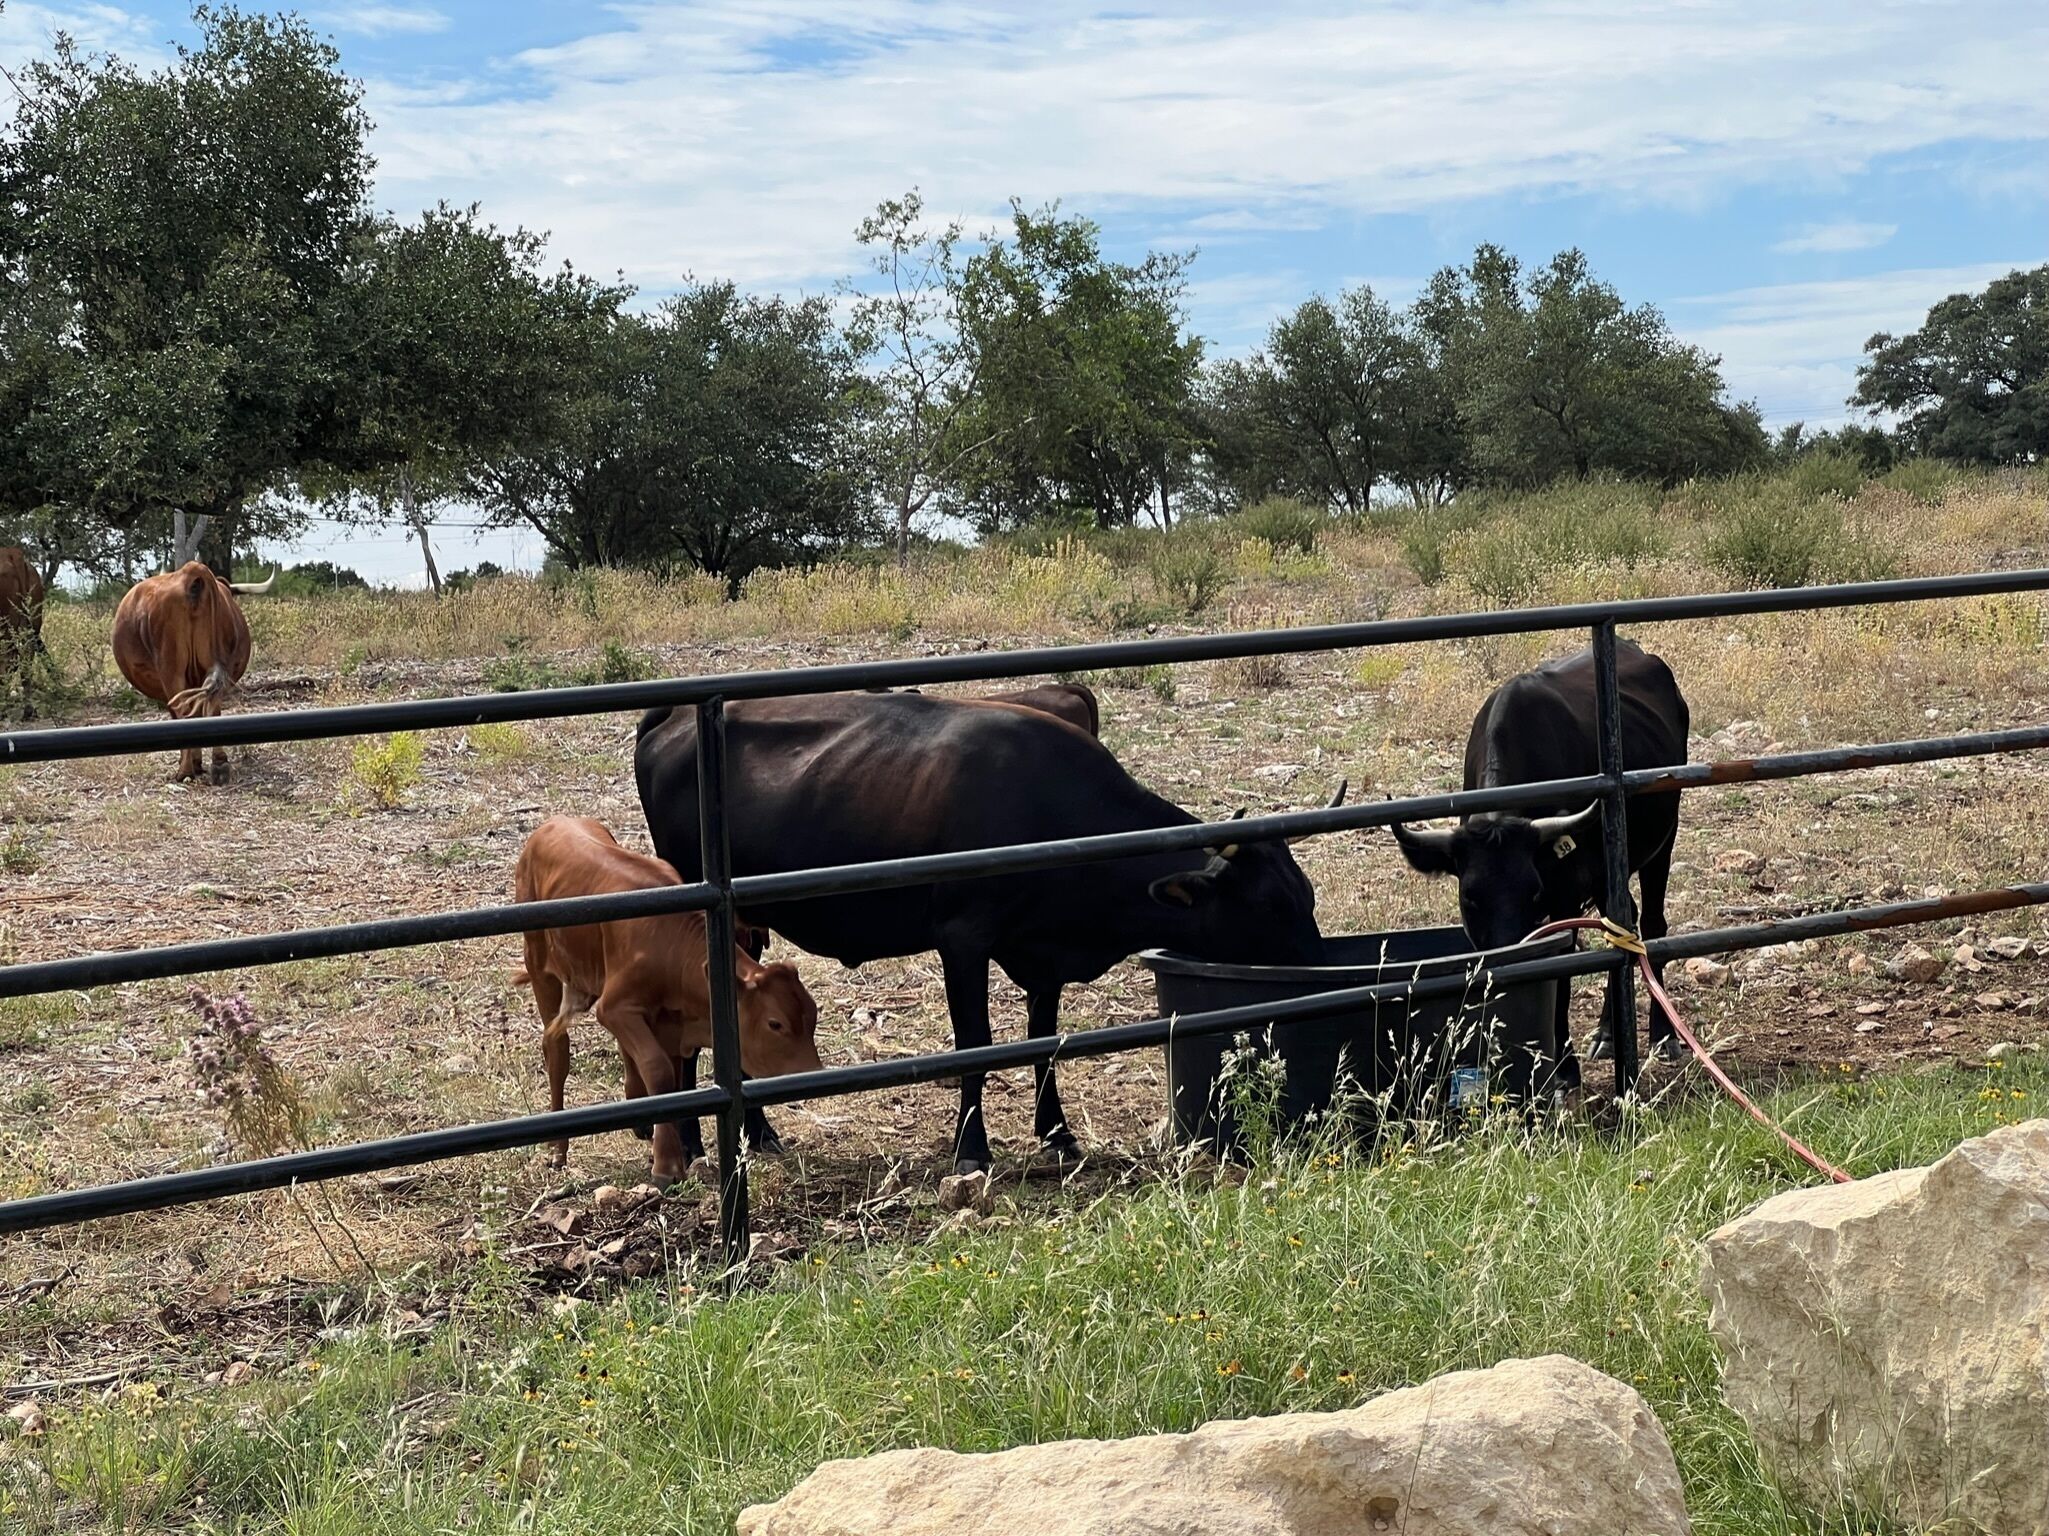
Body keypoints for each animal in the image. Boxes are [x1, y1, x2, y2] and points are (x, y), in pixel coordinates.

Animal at [1, 546, 48, 720]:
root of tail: (12, 553)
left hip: (6, 622)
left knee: (8, 659)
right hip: (32, 620)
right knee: (25, 660)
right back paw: (28, 710)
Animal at [110, 562, 275, 782]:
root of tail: (193, 571)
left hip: (172, 671)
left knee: (183, 714)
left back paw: (185, 771)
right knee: (212, 709)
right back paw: (219, 764)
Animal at [512, 815, 823, 1180]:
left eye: (813, 1015)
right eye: (775, 1024)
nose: (816, 1073)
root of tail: (555, 821)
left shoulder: (671, 1023)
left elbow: (671, 1084)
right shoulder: (615, 1007)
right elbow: (658, 1070)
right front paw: (668, 1164)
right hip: (538, 962)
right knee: (556, 1046)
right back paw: (558, 1149)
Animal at [635, 689, 1338, 1174]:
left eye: (1306, 895)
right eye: (1268, 906)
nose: (1325, 972)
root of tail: (672, 719)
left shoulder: (1043, 953)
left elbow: (1043, 1040)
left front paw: (1056, 1132)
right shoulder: (964, 938)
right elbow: (975, 1041)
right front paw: (971, 1148)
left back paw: (750, 1133)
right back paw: (701, 1140)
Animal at [1387, 638, 1689, 1084]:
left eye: (1533, 892)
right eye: (1470, 897)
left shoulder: (1564, 894)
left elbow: (1560, 973)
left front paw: (1563, 1067)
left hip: (1662, 842)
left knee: (1651, 923)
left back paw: (1663, 1035)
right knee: (1623, 924)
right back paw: (1607, 1033)